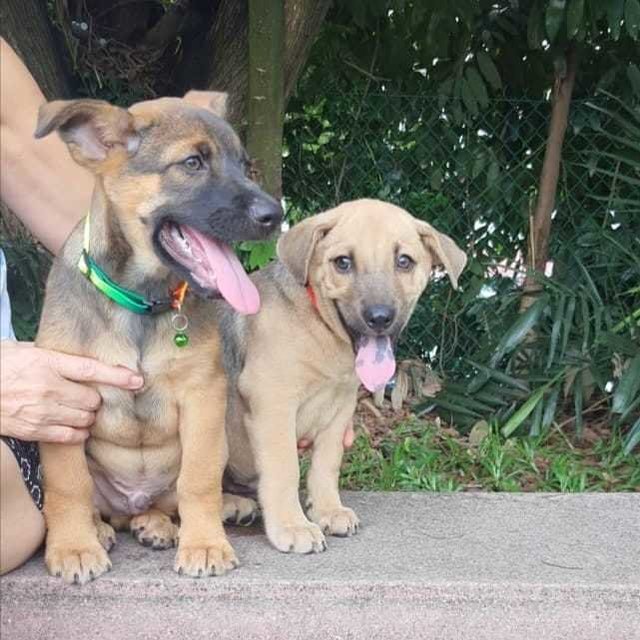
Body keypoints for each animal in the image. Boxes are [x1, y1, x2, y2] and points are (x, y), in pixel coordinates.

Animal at [33, 91, 282, 584]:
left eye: (244, 165)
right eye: (193, 163)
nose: (275, 215)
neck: (140, 304)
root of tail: (134, 501)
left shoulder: (203, 396)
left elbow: (198, 480)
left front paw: (204, 544)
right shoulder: (65, 400)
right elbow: (68, 484)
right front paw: (73, 548)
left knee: (169, 500)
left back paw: (170, 522)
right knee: (103, 509)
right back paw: (102, 530)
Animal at [219, 201, 464, 556]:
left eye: (404, 261)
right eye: (343, 263)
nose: (380, 318)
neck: (321, 331)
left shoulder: (340, 410)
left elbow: (325, 466)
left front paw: (327, 510)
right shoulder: (272, 405)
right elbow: (285, 469)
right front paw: (292, 525)